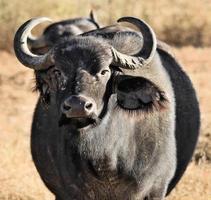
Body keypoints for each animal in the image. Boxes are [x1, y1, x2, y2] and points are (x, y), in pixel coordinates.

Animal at [14, 16, 200, 199]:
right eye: (58, 72)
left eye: (104, 71)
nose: (77, 106)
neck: (105, 157)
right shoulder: (67, 192)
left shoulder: (156, 189)